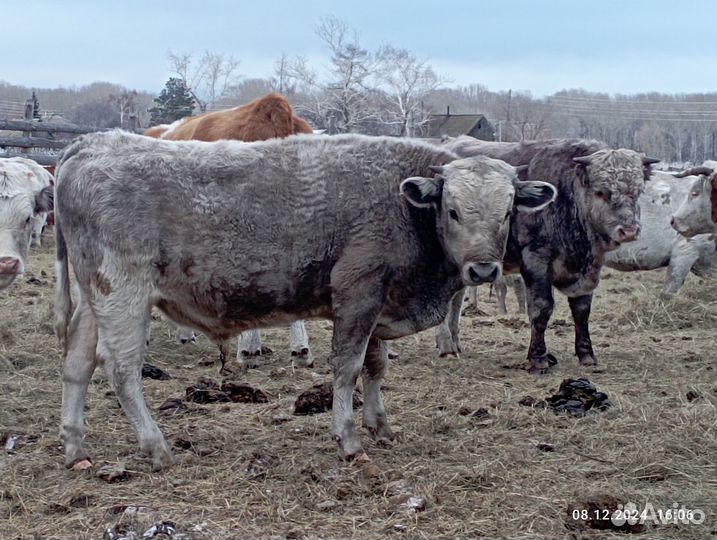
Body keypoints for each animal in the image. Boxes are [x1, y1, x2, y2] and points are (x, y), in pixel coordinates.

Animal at [57, 130, 560, 468]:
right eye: (453, 210)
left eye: (509, 210)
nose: (483, 270)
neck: (402, 205)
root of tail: (90, 144)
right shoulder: (357, 296)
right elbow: (348, 370)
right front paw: (349, 438)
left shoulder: (379, 305)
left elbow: (377, 368)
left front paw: (380, 424)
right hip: (123, 295)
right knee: (121, 371)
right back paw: (157, 446)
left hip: (94, 300)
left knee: (77, 363)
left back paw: (75, 446)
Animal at [434, 139, 656, 374]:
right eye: (600, 192)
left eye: (638, 191)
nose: (629, 231)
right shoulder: (536, 260)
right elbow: (541, 308)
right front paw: (538, 357)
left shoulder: (589, 270)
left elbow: (582, 310)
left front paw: (586, 354)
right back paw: (446, 344)